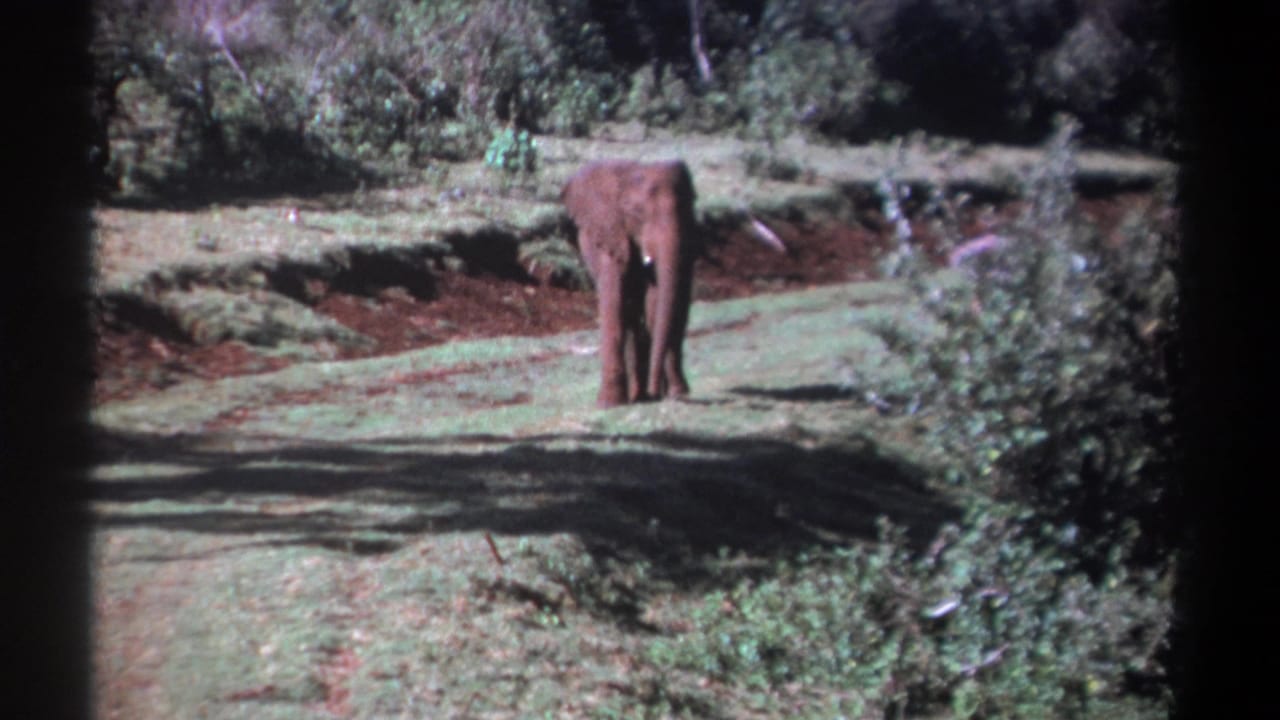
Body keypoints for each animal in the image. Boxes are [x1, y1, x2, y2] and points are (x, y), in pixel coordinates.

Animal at [561, 159, 699, 408]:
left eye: (690, 204)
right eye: (636, 213)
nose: (657, 391)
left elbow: (664, 303)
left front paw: (677, 393)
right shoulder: (610, 234)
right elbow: (615, 298)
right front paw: (609, 404)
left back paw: (646, 395)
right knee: (630, 310)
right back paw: (638, 396)